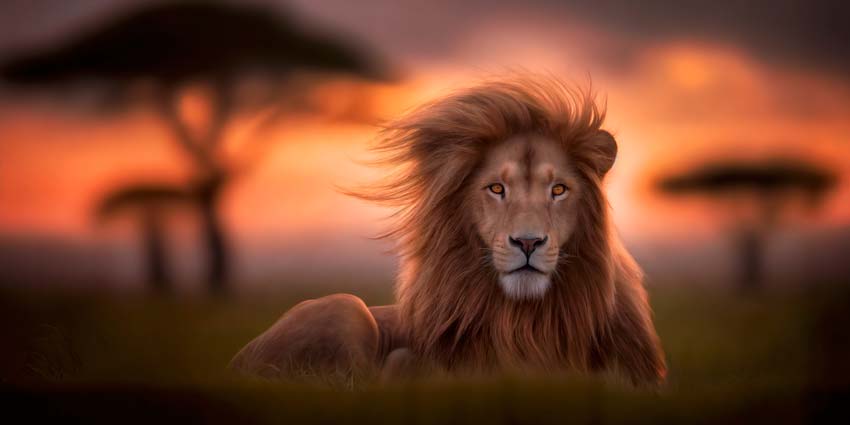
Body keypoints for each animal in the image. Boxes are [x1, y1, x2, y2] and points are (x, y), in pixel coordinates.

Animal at [230, 76, 667, 387]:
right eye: (496, 188)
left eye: (558, 190)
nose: (527, 242)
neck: (526, 320)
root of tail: (236, 360)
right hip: (346, 308)